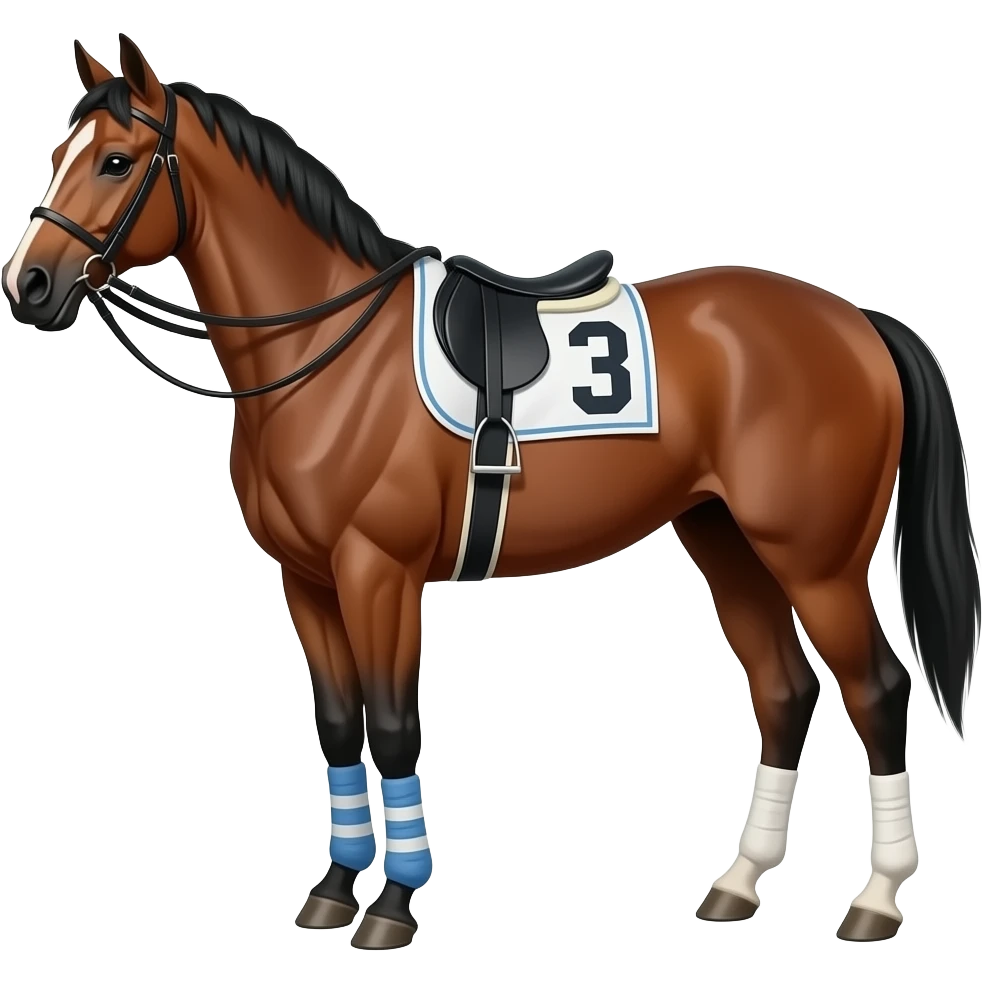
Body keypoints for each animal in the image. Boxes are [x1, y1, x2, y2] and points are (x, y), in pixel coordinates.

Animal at [3, 35, 978, 949]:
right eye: (58, 150)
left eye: (115, 161)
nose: (29, 285)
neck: (328, 350)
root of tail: (859, 322)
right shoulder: (307, 581)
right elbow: (341, 725)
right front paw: (334, 888)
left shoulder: (378, 574)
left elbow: (393, 725)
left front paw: (394, 902)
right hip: (725, 540)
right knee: (783, 690)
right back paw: (738, 883)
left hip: (816, 563)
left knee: (876, 690)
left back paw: (876, 899)